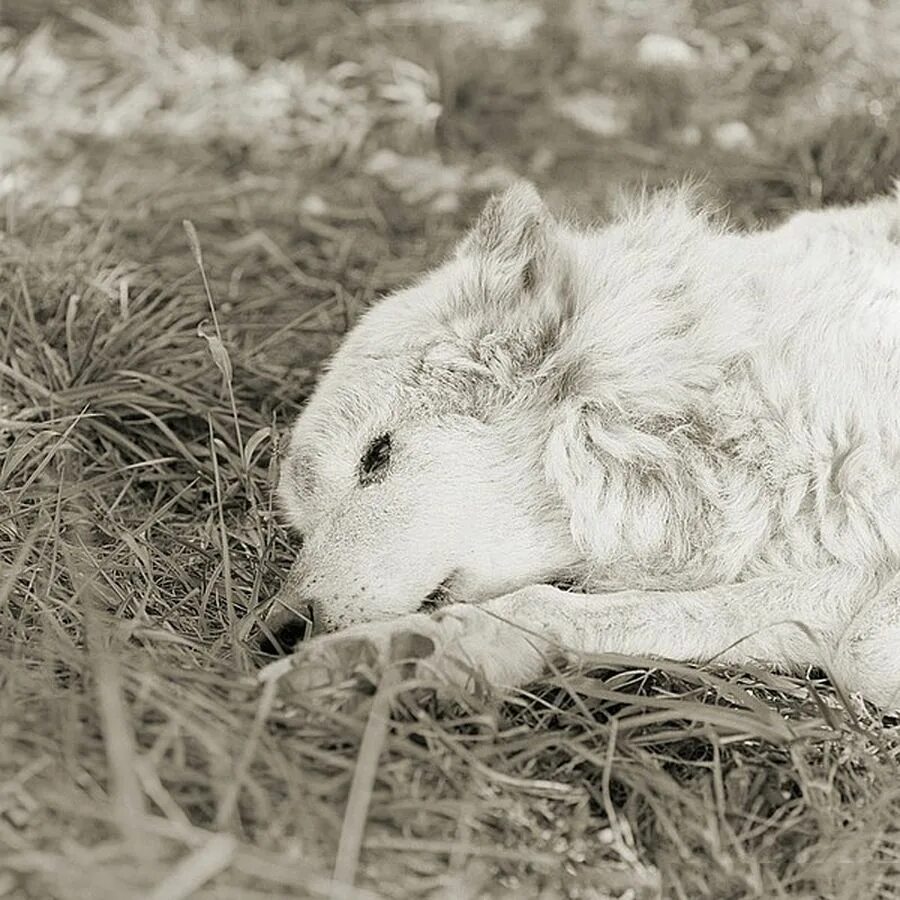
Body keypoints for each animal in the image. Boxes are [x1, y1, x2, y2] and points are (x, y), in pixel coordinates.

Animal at [260, 179, 900, 708]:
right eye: (302, 525)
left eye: (376, 456)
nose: (277, 630)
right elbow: (561, 606)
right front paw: (393, 657)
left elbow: (861, 649)